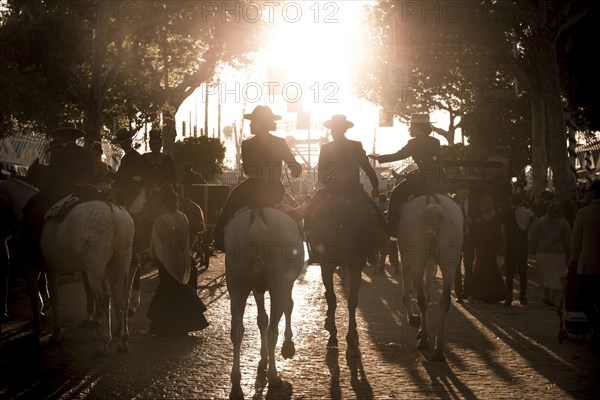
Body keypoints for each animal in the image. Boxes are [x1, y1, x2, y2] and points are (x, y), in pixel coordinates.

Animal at [226, 208, 304, 398]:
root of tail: (258, 213)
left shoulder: (257, 287)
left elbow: (261, 318)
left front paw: (263, 358)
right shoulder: (287, 282)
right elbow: (289, 305)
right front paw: (288, 340)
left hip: (237, 285)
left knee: (237, 331)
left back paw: (236, 383)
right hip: (278, 284)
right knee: (272, 330)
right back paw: (274, 377)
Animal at [398, 193, 464, 360]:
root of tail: (433, 205)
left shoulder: (407, 258)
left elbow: (411, 287)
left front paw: (415, 320)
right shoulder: (431, 263)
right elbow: (428, 289)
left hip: (416, 257)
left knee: (422, 298)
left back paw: (424, 341)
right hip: (449, 262)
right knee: (444, 300)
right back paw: (439, 348)